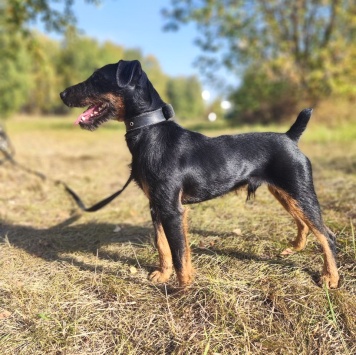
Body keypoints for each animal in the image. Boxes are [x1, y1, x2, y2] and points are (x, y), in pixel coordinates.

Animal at [60, 59, 340, 290]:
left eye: (97, 77)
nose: (62, 94)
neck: (151, 132)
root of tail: (290, 137)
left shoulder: (172, 210)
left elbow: (180, 254)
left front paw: (182, 289)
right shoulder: (156, 207)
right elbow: (163, 246)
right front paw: (163, 275)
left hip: (299, 192)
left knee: (326, 235)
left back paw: (330, 278)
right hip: (285, 193)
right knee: (304, 224)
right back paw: (294, 249)